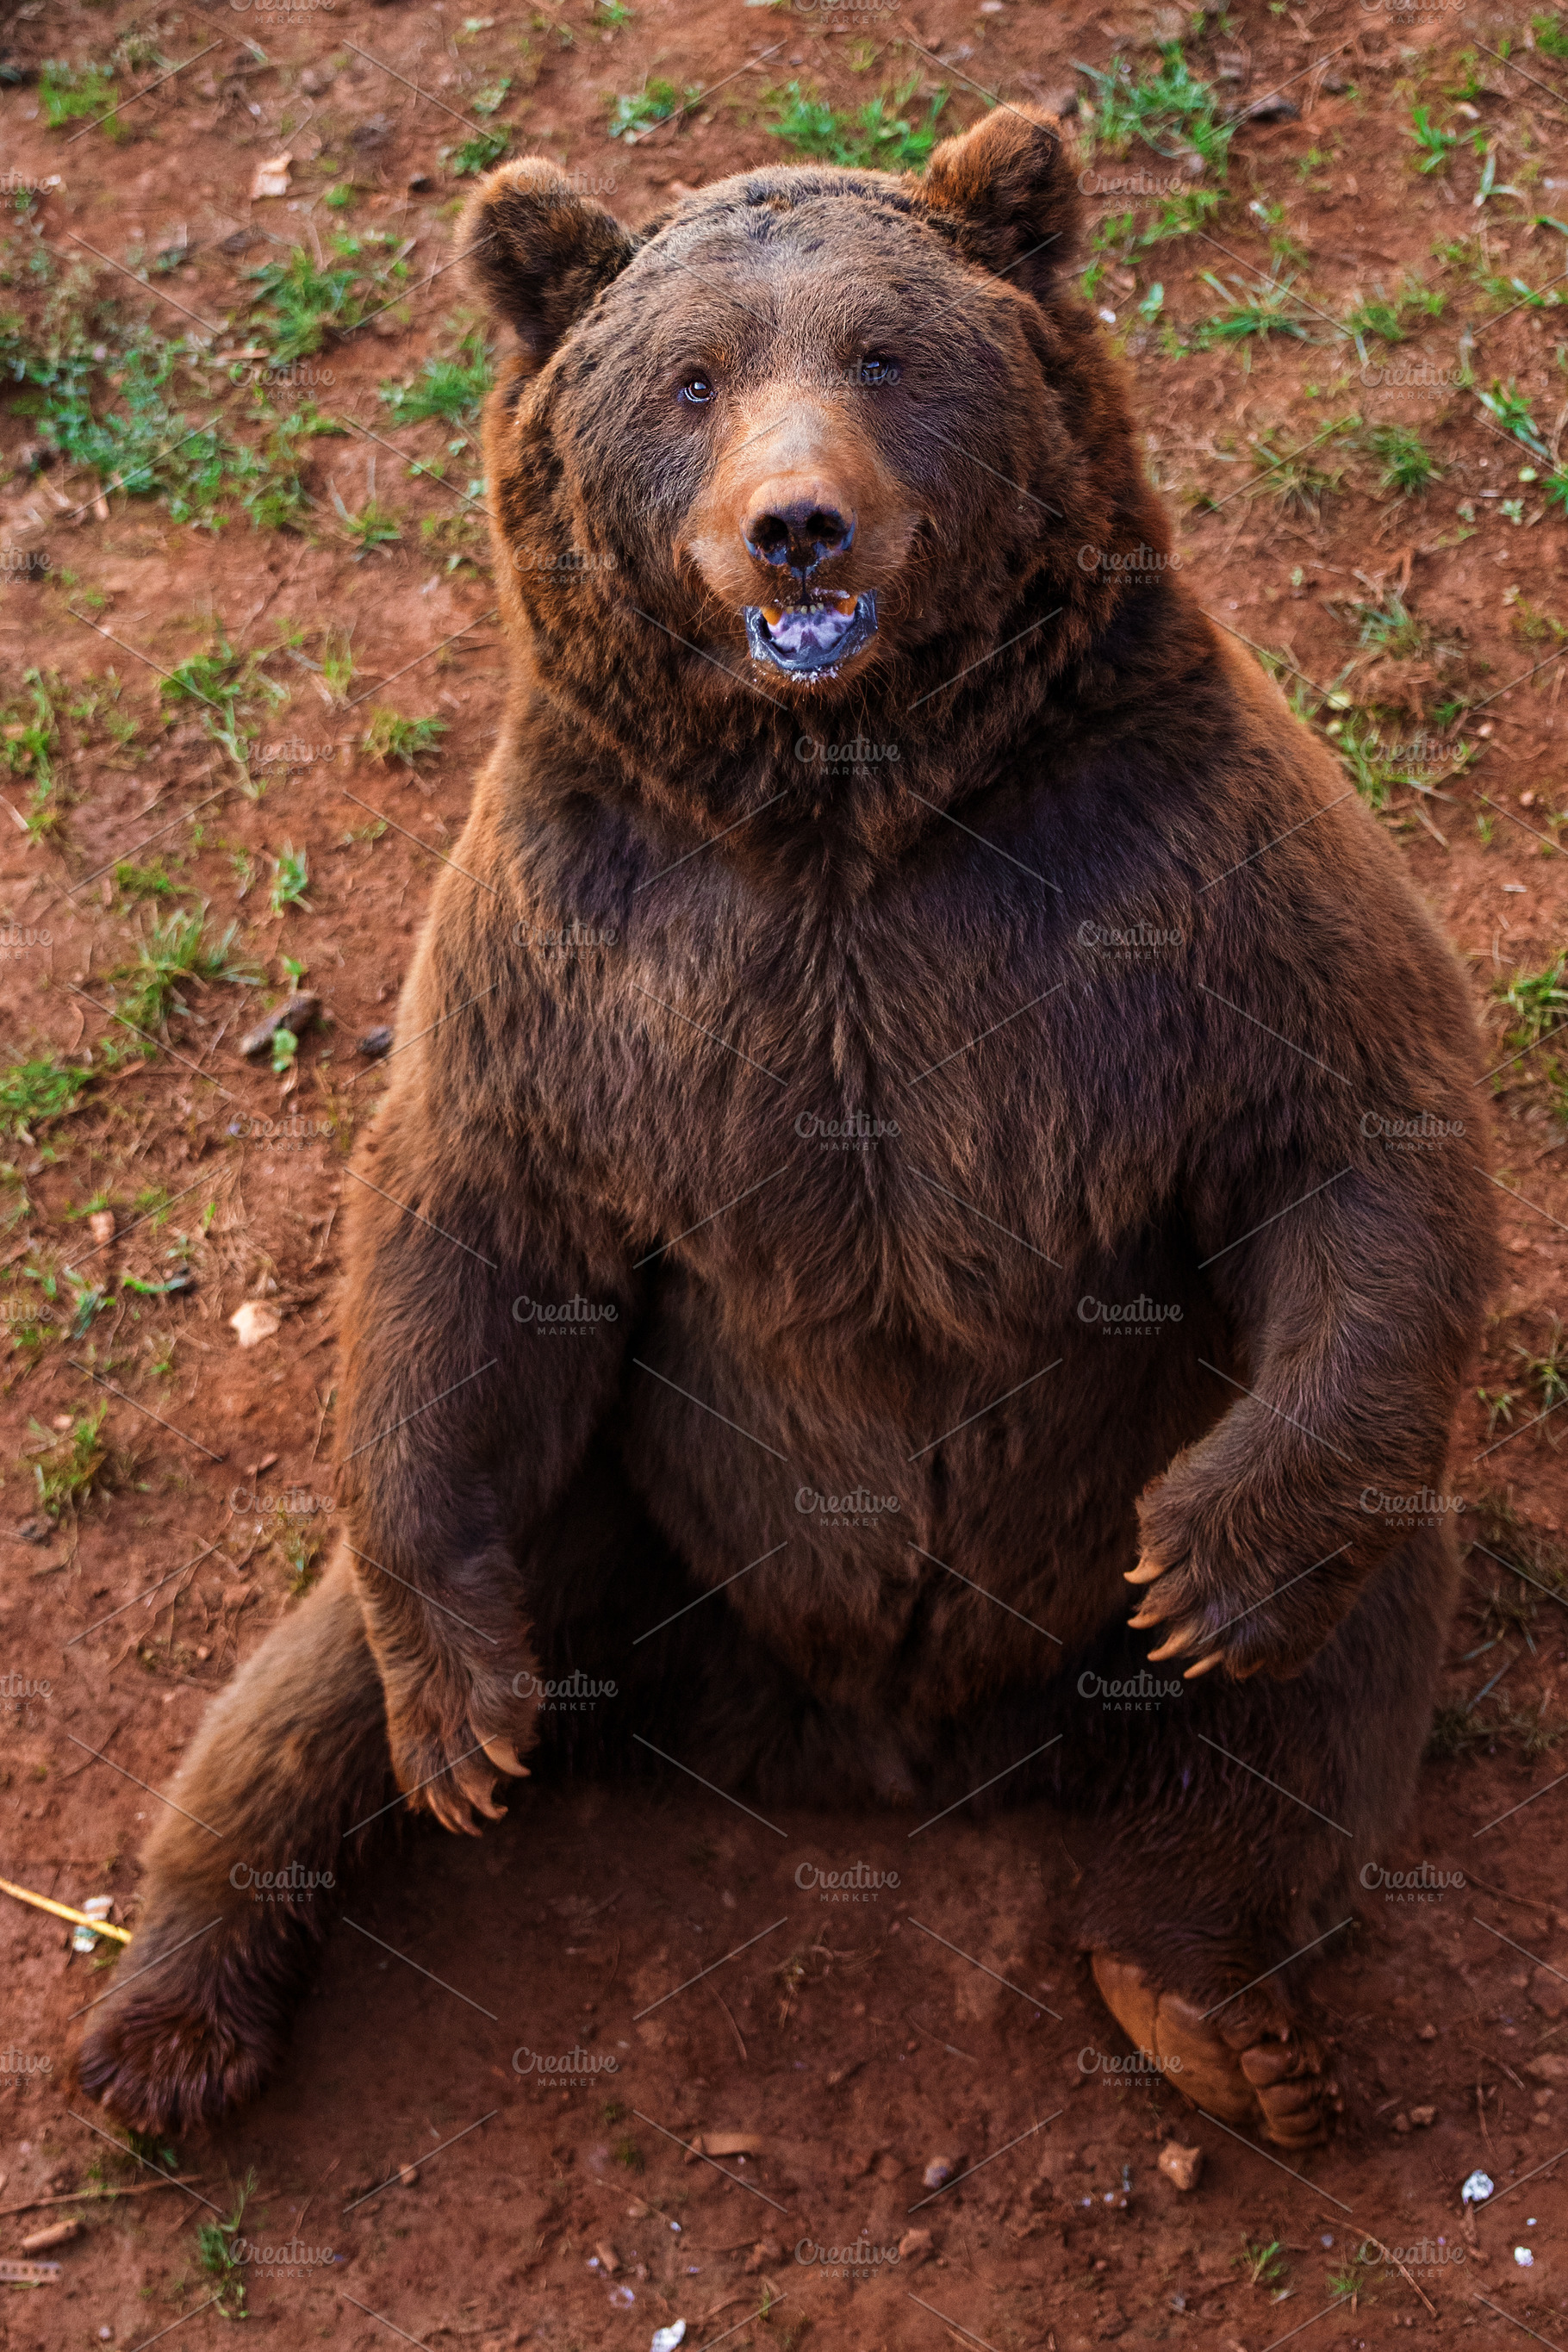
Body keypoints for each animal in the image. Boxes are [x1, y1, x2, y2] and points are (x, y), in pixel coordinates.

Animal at [78, 107, 1497, 2150]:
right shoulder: (590, 937)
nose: (795, 524)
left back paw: (1211, 2002)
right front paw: (454, 1725)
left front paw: (1209, 1565)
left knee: (1329, 1672)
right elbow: (468, 1222)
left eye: (887, 355)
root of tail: (864, 1743)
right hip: (615, 1524)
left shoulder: (1156, 859)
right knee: (309, 1677)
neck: (843, 799)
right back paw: (173, 2017)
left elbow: (1348, 1124)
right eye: (690, 378)